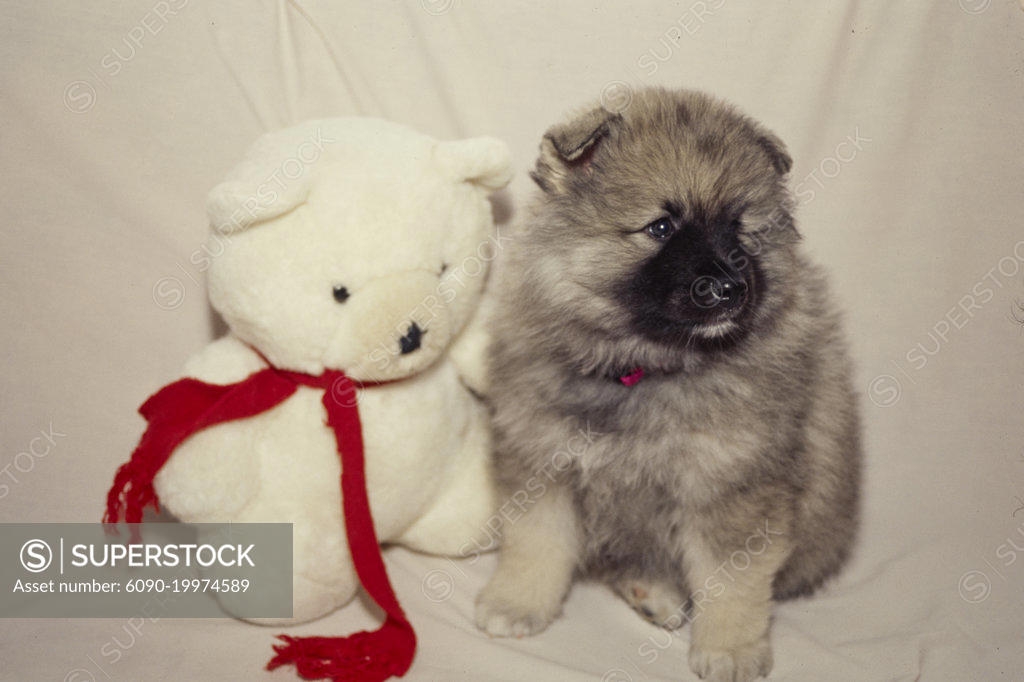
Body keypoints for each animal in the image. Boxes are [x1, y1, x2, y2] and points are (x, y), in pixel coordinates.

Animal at [475, 86, 860, 679]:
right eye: (661, 227)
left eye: (740, 227)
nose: (730, 286)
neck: (644, 367)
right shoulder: (543, 457)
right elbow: (536, 541)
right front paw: (516, 602)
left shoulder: (731, 483)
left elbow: (732, 580)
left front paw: (730, 649)